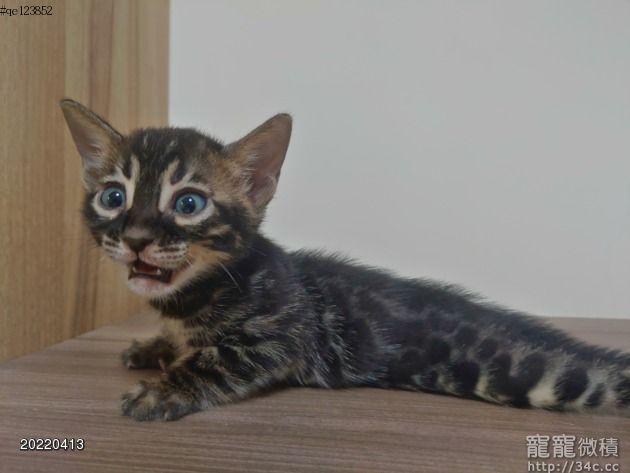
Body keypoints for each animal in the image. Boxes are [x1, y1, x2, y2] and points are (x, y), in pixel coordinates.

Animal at [60, 99, 630, 421]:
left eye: (188, 204)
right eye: (113, 197)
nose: (135, 238)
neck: (198, 295)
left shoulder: (285, 333)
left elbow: (218, 357)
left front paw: (163, 390)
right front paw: (154, 346)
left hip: (541, 379)